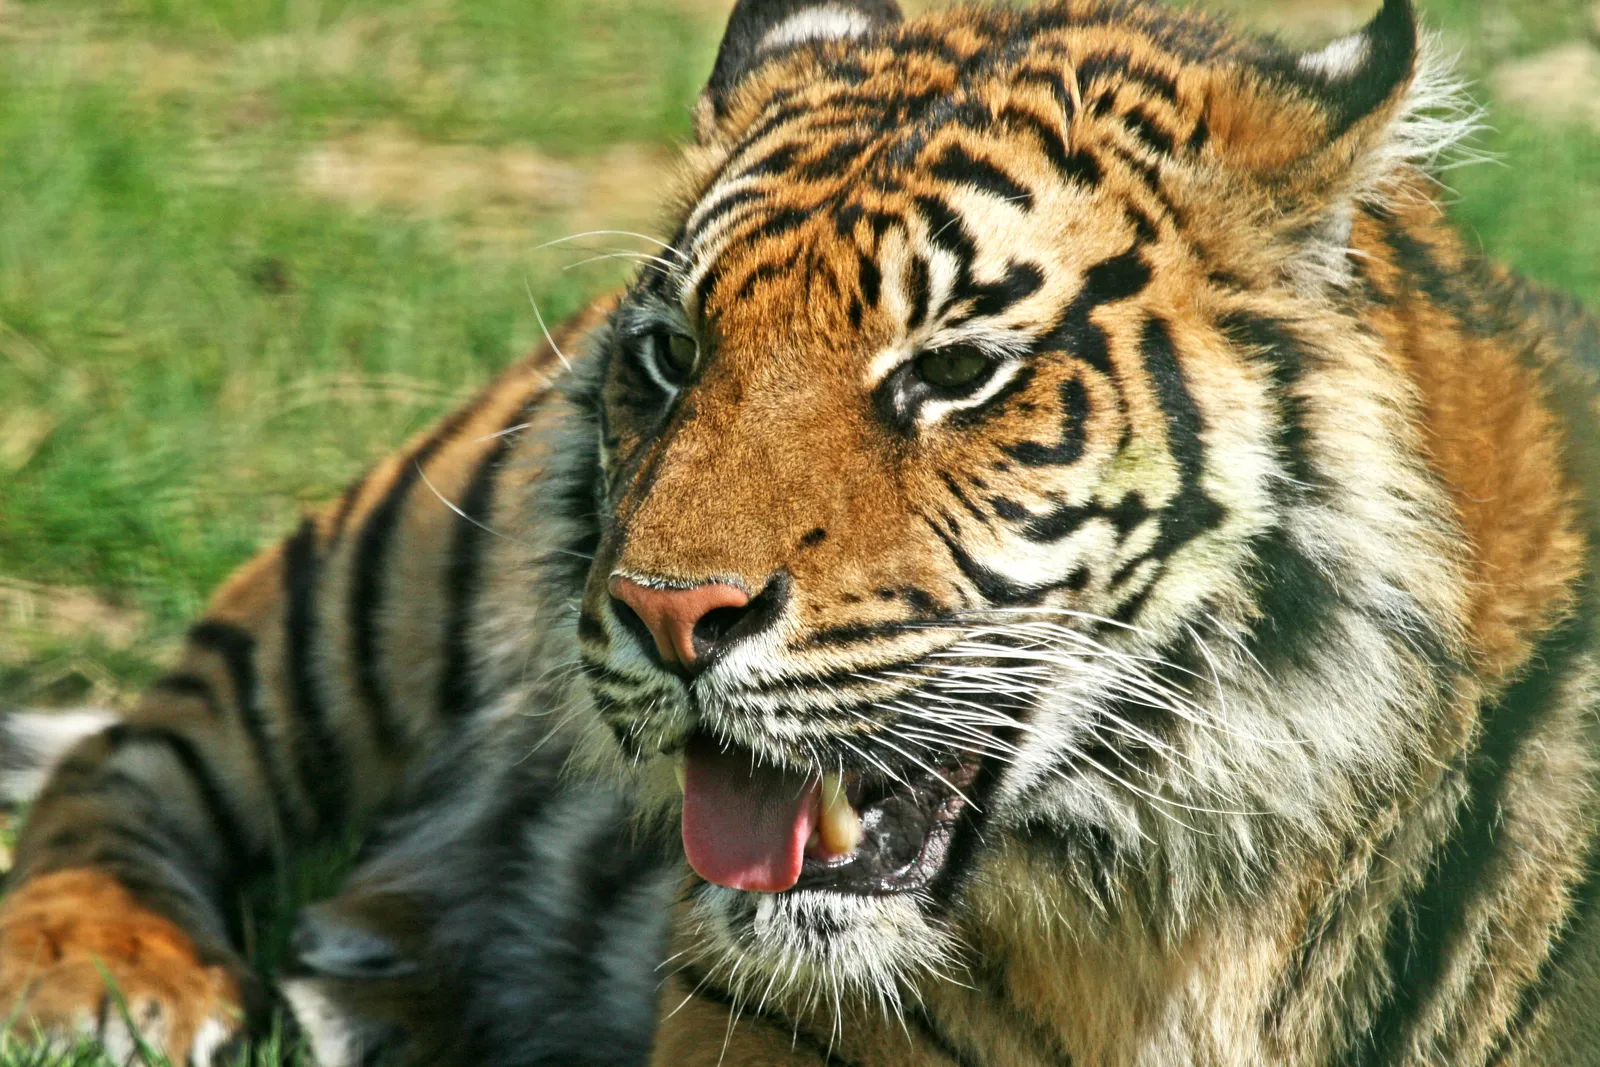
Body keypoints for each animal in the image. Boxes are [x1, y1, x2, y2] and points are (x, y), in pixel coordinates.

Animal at [2, 0, 1598, 1063]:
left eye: (953, 370)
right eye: (673, 354)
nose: (668, 612)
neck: (1192, 912)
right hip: (389, 579)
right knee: (138, 744)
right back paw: (103, 977)